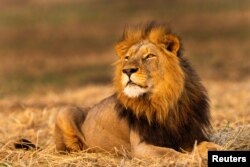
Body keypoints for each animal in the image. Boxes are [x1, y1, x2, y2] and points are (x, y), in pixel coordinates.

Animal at [54, 22, 219, 159]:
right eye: (127, 57)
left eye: (149, 56)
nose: (127, 70)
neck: (165, 101)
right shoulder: (141, 146)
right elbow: (170, 153)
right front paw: (192, 158)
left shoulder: (190, 136)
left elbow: (207, 144)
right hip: (65, 111)